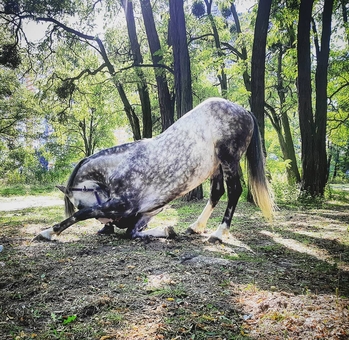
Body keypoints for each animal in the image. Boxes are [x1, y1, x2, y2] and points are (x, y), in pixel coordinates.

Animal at [36, 97, 274, 243]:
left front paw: (48, 232)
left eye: (77, 202)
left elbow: (82, 214)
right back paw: (196, 227)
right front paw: (165, 231)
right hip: (215, 165)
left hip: (229, 159)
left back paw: (219, 233)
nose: (112, 225)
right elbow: (133, 232)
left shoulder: (122, 205)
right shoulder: (145, 212)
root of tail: (244, 110)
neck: (119, 167)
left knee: (234, 191)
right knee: (217, 193)